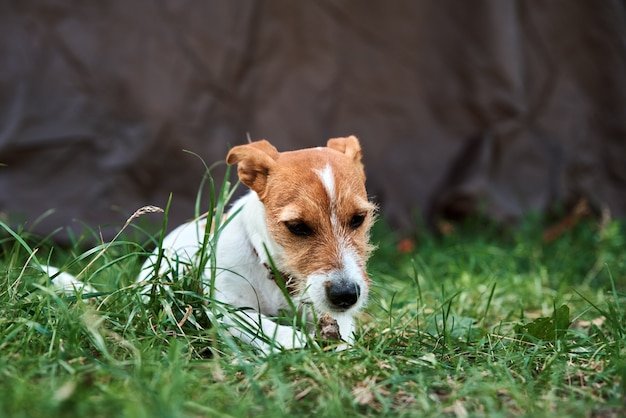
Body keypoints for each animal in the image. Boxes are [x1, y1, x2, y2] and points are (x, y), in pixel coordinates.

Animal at [53, 136, 372, 352]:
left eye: (358, 219)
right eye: (297, 227)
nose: (346, 296)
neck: (273, 273)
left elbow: (343, 327)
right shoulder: (227, 309)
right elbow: (263, 326)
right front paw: (296, 342)